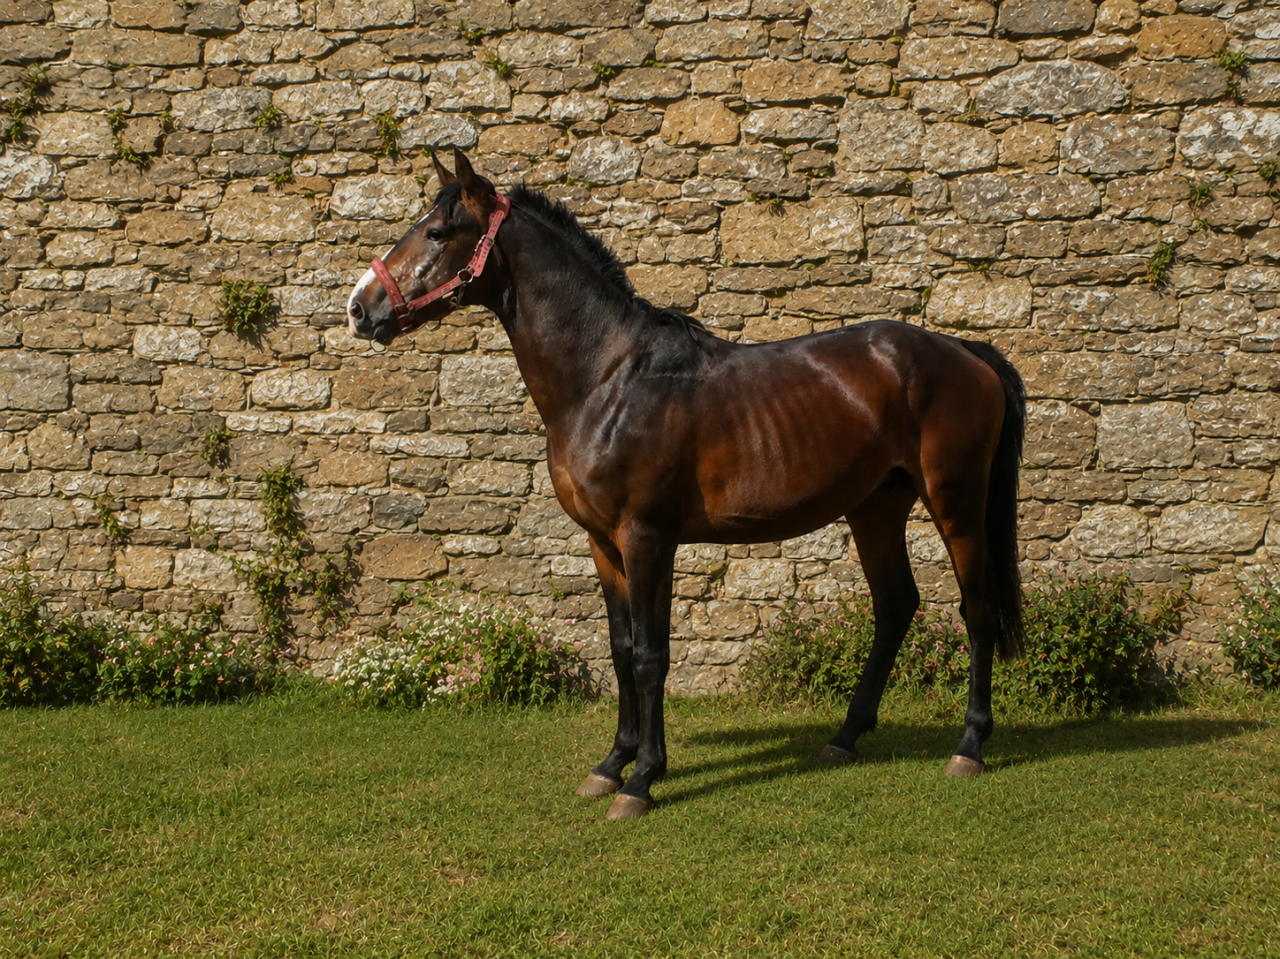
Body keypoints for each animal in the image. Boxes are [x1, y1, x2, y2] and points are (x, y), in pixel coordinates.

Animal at [346, 149, 1027, 821]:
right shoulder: (603, 544)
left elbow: (652, 656)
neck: (609, 379)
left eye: (438, 231)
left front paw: (642, 779)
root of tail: (965, 350)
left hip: (956, 503)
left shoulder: (648, 538)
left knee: (977, 609)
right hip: (876, 509)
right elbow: (622, 650)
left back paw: (969, 746)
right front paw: (611, 765)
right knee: (895, 606)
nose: (360, 307)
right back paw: (844, 738)